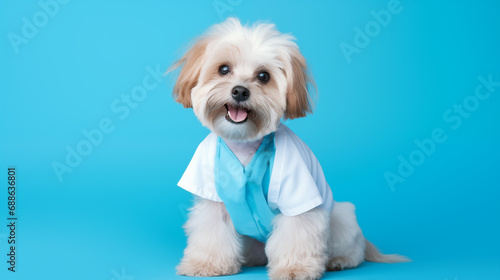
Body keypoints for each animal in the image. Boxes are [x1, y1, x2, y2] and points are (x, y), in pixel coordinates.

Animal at [170, 18, 408, 280]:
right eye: (223, 69)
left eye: (263, 76)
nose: (240, 91)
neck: (245, 145)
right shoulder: (210, 192)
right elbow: (212, 229)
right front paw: (207, 263)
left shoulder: (297, 191)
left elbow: (297, 232)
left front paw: (295, 268)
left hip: (341, 218)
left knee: (352, 249)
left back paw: (339, 260)